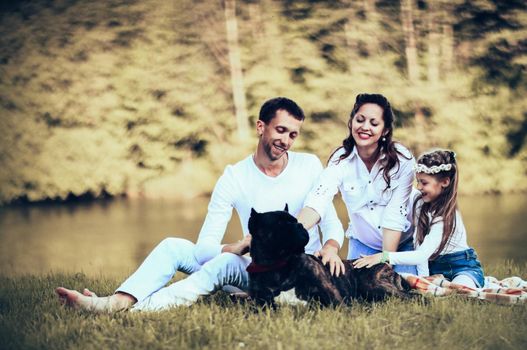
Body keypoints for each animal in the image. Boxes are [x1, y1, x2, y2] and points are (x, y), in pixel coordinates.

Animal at [249, 206, 416, 308]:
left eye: (296, 221)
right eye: (279, 224)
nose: (300, 225)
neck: (280, 265)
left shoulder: (333, 298)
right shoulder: (261, 304)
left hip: (374, 285)